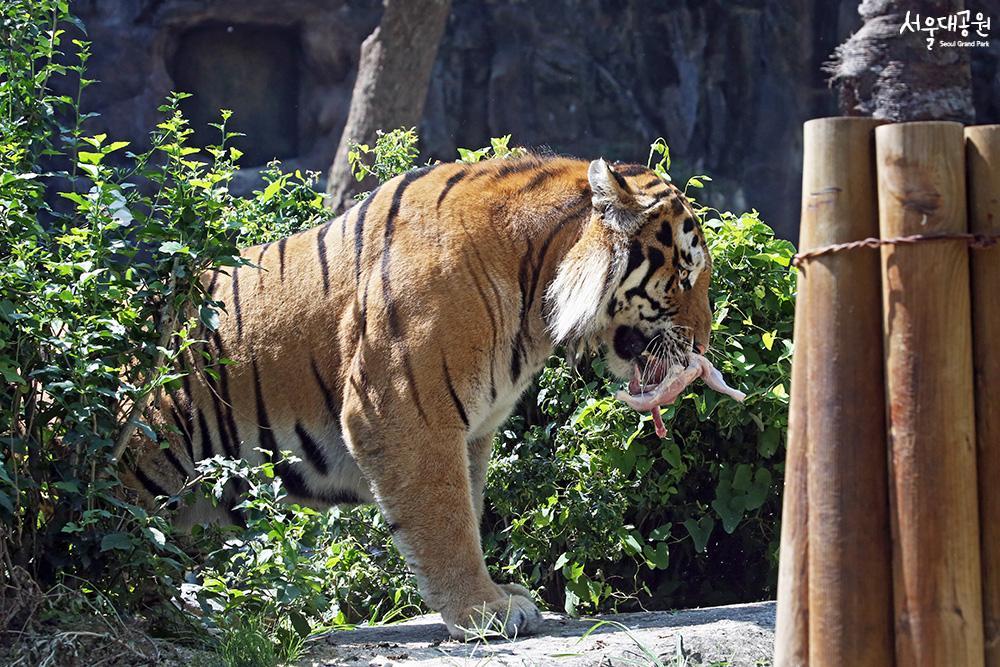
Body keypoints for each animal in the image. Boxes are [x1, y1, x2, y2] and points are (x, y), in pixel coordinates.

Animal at [125, 154, 716, 640]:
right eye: (685, 275)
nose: (704, 346)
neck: (537, 286)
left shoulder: (473, 429)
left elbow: (468, 508)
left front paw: (496, 595)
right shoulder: (405, 409)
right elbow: (445, 519)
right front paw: (483, 611)